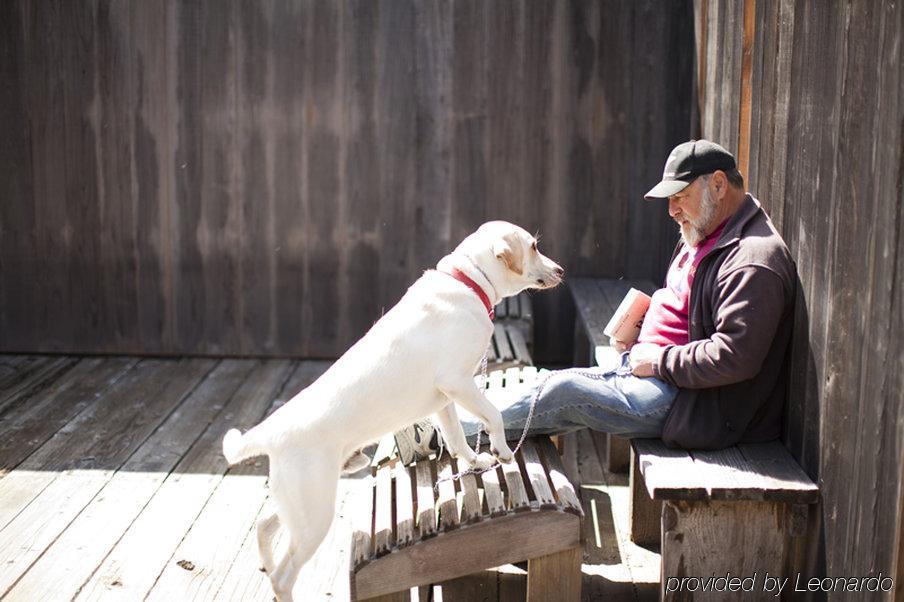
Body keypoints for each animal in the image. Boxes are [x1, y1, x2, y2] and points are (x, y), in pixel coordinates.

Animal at [222, 219, 560, 596]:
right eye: (534, 246)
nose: (561, 270)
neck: (468, 281)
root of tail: (270, 431)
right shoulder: (459, 382)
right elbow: (494, 415)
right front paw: (501, 450)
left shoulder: (445, 399)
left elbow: (457, 438)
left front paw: (476, 462)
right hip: (315, 512)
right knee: (283, 576)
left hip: (299, 500)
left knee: (264, 527)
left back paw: (264, 561)